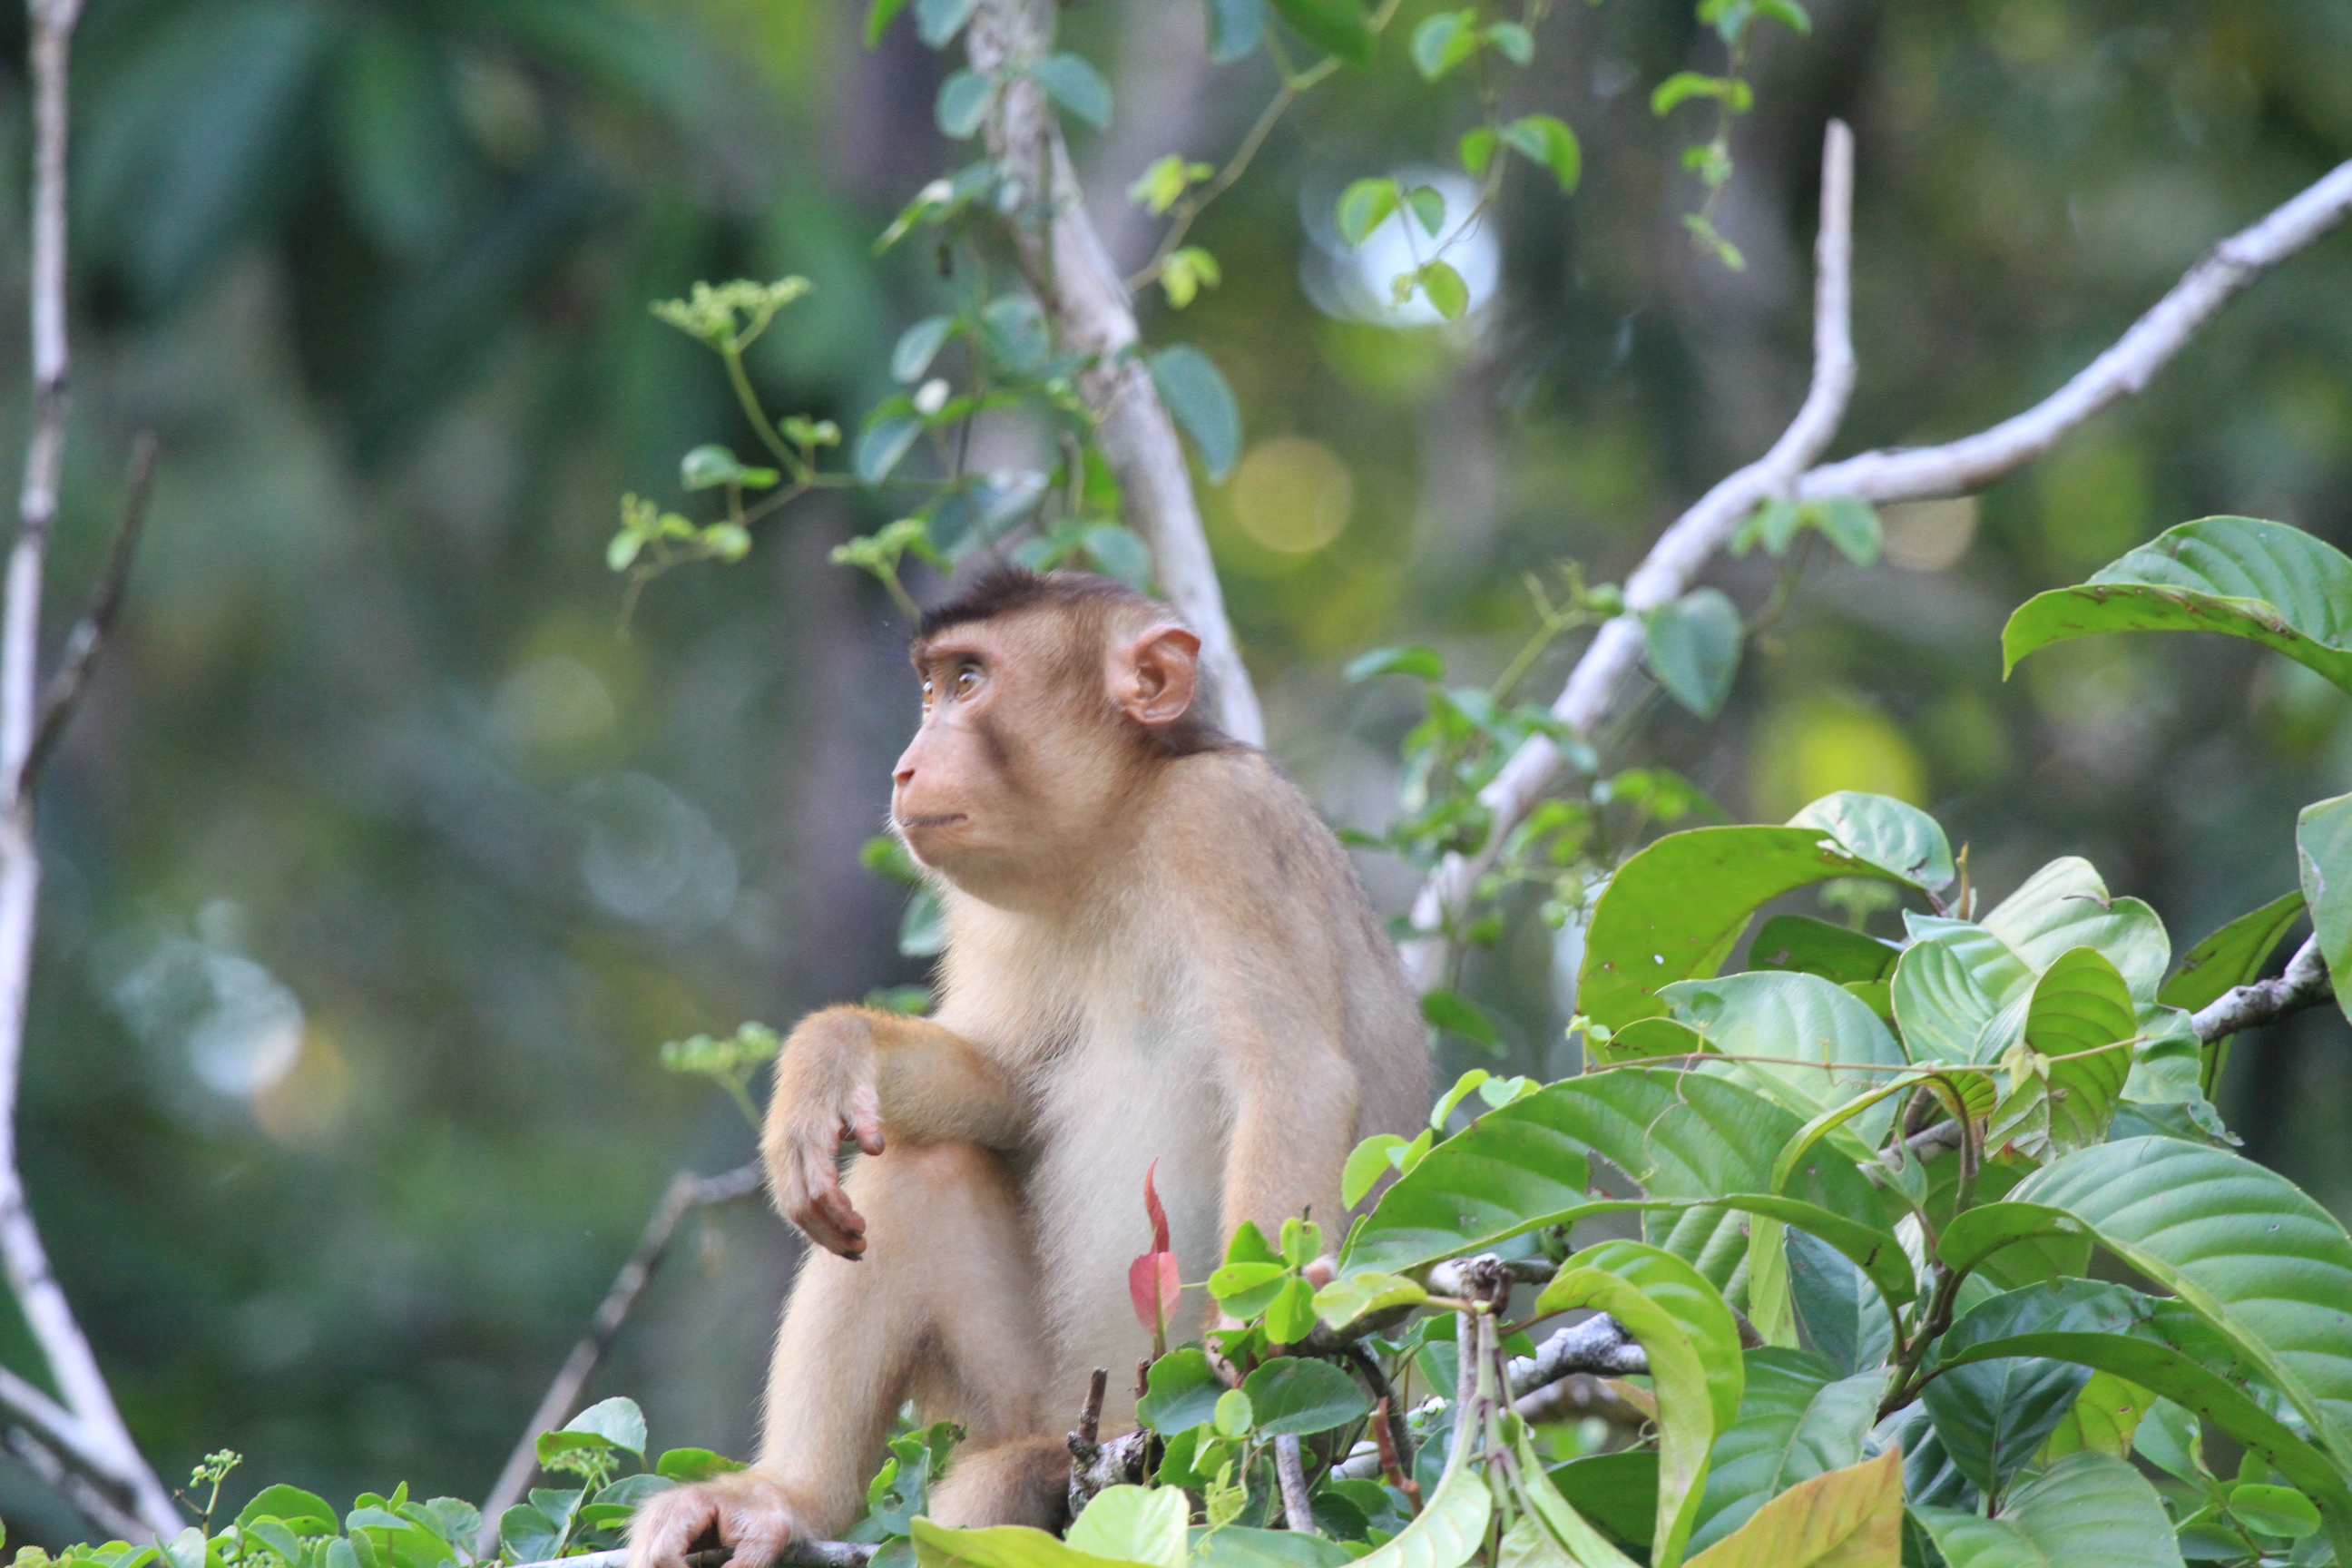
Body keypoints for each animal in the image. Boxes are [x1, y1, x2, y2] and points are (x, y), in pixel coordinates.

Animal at [625, 573, 1420, 1568]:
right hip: (1019, 1399)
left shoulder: (1227, 822)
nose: (906, 768)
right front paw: (830, 1053)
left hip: (1142, 1417)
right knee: (923, 1167)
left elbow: (1295, 1076)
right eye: (929, 689)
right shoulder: (988, 906)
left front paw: (1251, 1341)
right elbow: (1006, 1089)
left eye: (970, 681)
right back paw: (788, 1498)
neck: (1117, 829)